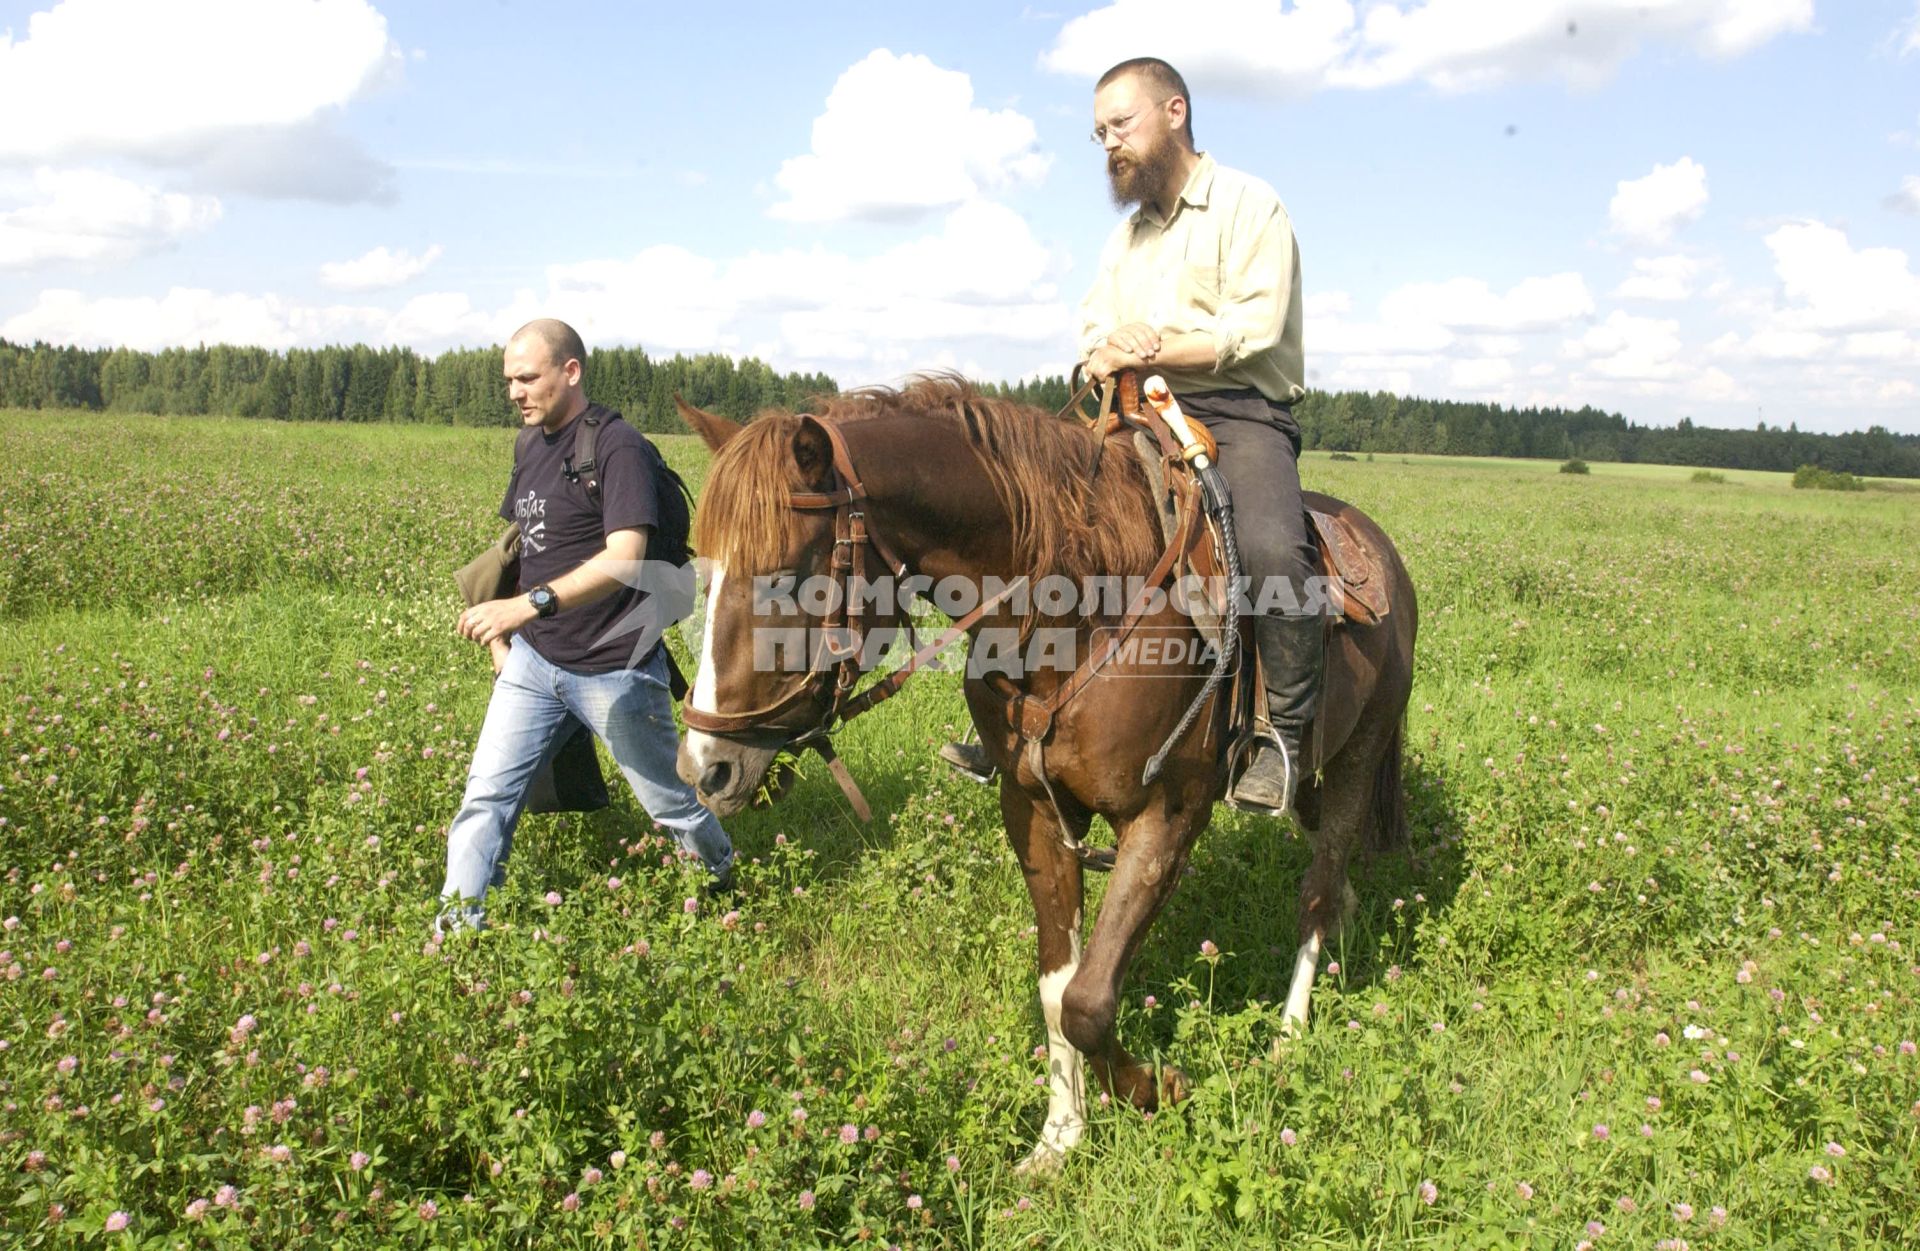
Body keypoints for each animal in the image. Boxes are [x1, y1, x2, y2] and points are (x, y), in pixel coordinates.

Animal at [675, 376, 1413, 1166]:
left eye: (785, 578)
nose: (705, 767)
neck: (1082, 606)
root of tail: (1381, 551)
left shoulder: (1168, 817)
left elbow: (1090, 1003)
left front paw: (1157, 1088)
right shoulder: (1031, 811)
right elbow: (1059, 992)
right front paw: (1061, 1138)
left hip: (1359, 758)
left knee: (1319, 888)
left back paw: (1291, 1033)